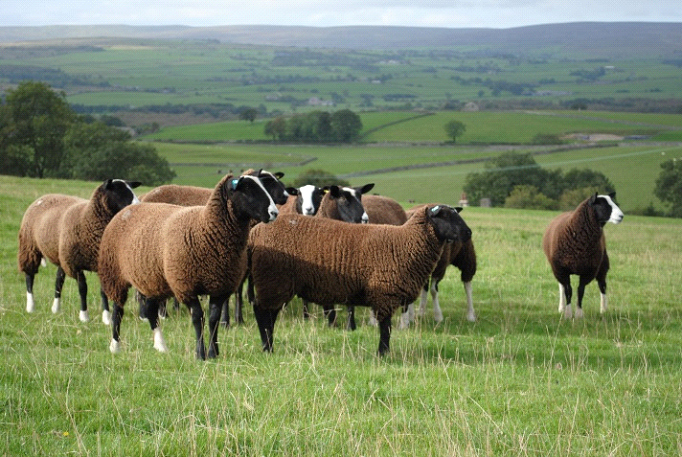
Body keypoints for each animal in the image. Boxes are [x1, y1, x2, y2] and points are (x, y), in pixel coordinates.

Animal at [17, 180, 139, 322]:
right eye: (118, 192)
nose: (138, 205)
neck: (87, 218)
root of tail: (43, 197)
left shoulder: (100, 263)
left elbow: (103, 291)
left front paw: (106, 317)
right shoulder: (75, 265)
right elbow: (83, 289)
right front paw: (84, 315)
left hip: (62, 256)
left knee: (58, 281)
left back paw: (56, 308)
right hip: (29, 247)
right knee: (29, 276)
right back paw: (31, 306)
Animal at [97, 172, 278, 360]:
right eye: (247, 189)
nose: (274, 213)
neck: (206, 230)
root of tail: (125, 210)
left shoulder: (219, 288)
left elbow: (213, 320)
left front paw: (213, 353)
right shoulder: (186, 286)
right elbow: (198, 319)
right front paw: (200, 354)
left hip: (151, 279)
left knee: (151, 311)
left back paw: (161, 346)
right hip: (114, 274)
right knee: (118, 311)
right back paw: (115, 346)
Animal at [247, 204, 470, 356]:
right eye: (445, 216)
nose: (469, 233)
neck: (405, 243)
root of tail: (255, 233)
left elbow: (386, 328)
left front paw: (383, 354)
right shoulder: (385, 293)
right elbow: (385, 329)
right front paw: (382, 355)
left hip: (275, 283)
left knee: (268, 314)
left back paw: (269, 346)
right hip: (274, 280)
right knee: (261, 311)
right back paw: (268, 347)